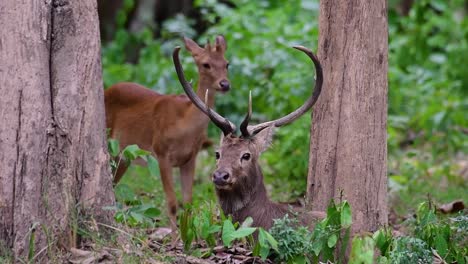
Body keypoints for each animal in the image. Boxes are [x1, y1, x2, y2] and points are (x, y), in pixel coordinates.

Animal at [105, 35, 231, 231]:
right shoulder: (161, 153)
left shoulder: (190, 158)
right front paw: (175, 238)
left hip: (124, 156)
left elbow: (188, 202)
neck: (184, 124)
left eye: (227, 64)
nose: (225, 84)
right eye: (206, 64)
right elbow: (171, 203)